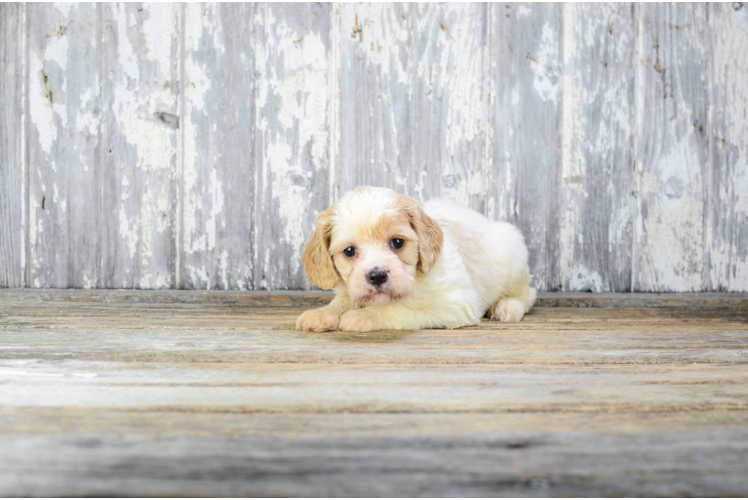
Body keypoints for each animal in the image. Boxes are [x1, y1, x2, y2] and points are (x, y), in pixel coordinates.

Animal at [296, 186, 536, 330]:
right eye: (349, 251)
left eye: (397, 242)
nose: (377, 275)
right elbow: (343, 301)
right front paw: (322, 313)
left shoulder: (455, 303)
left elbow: (398, 309)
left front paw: (363, 316)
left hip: (514, 262)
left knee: (528, 293)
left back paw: (507, 307)